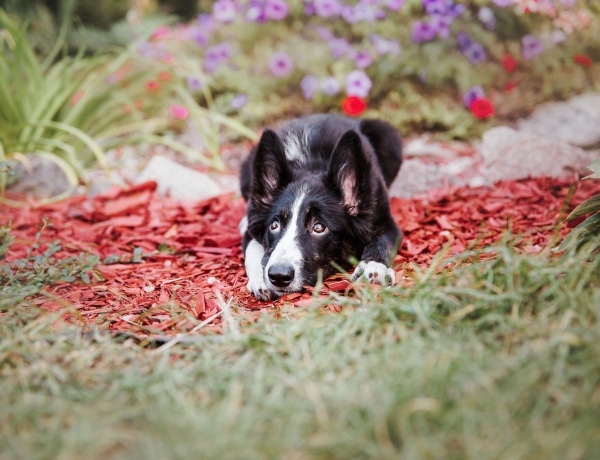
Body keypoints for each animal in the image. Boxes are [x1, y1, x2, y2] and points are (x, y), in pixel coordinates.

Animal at [239, 114, 404, 302]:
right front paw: (260, 279)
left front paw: (373, 268)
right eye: (274, 225)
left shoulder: (386, 221)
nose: (279, 276)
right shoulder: (253, 226)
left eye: (319, 227)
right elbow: (252, 248)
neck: (310, 165)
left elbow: (381, 242)